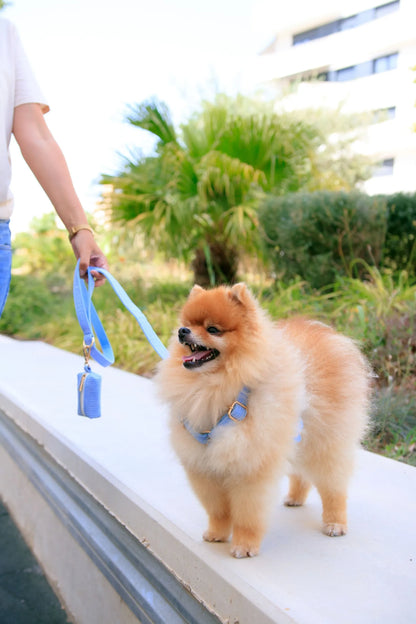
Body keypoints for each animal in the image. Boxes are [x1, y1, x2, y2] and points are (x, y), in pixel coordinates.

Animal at [156, 286, 370, 560]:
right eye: (187, 324)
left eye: (212, 329)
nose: (182, 331)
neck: (215, 386)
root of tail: (328, 334)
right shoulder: (204, 468)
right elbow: (218, 510)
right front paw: (217, 533)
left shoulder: (250, 467)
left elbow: (247, 515)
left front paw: (244, 545)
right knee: (301, 473)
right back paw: (295, 498)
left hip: (324, 442)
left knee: (334, 486)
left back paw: (335, 523)